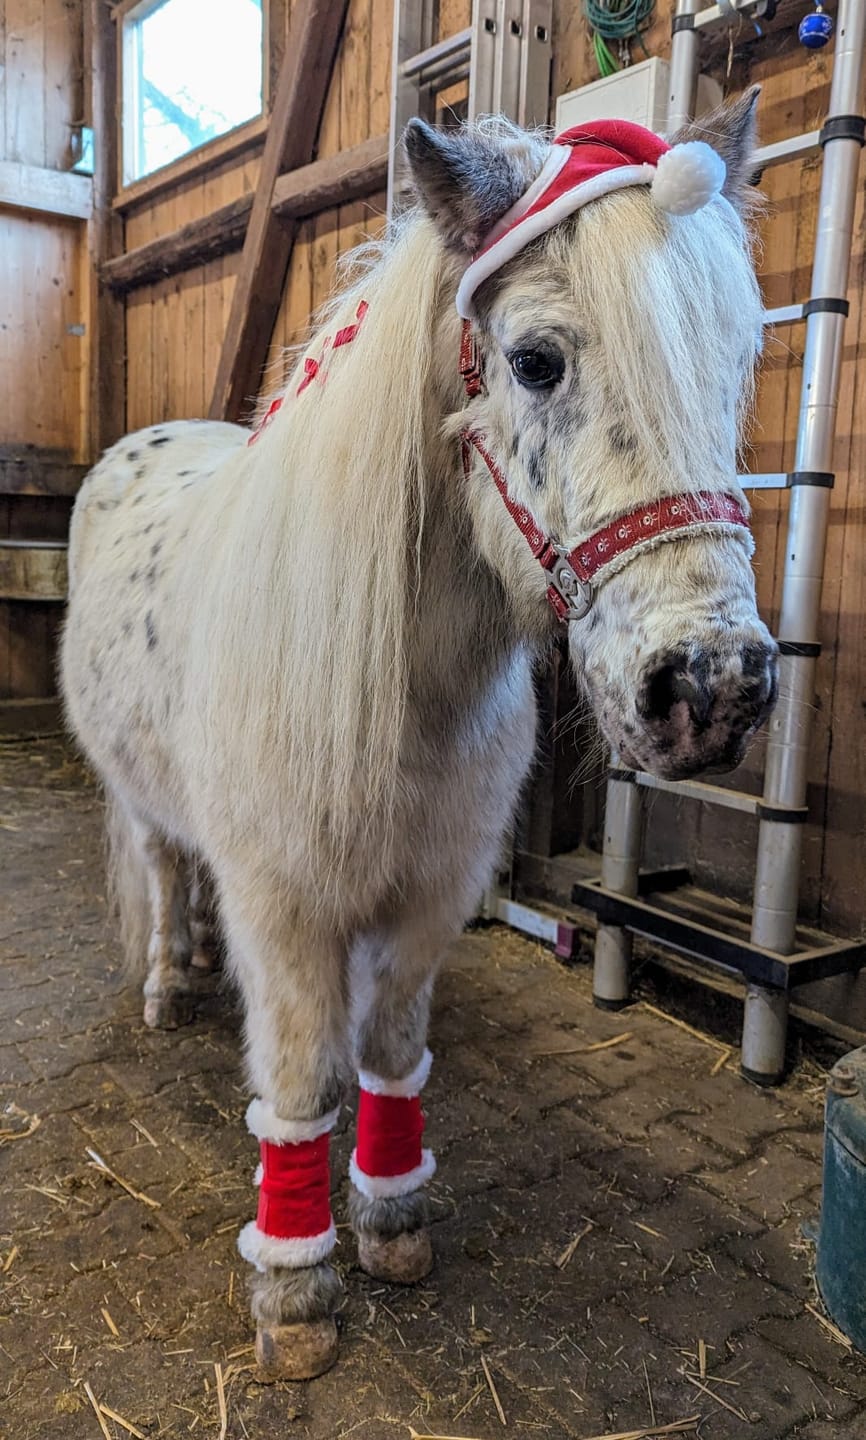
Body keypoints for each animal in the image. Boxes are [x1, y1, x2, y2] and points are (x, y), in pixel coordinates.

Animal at [60, 93, 778, 1380]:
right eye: (534, 361)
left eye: (737, 353)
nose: (713, 688)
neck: (401, 684)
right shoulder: (285, 906)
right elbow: (298, 1080)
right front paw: (294, 1291)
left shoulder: (427, 896)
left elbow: (391, 1056)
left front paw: (391, 1219)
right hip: (140, 802)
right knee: (162, 867)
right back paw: (168, 984)